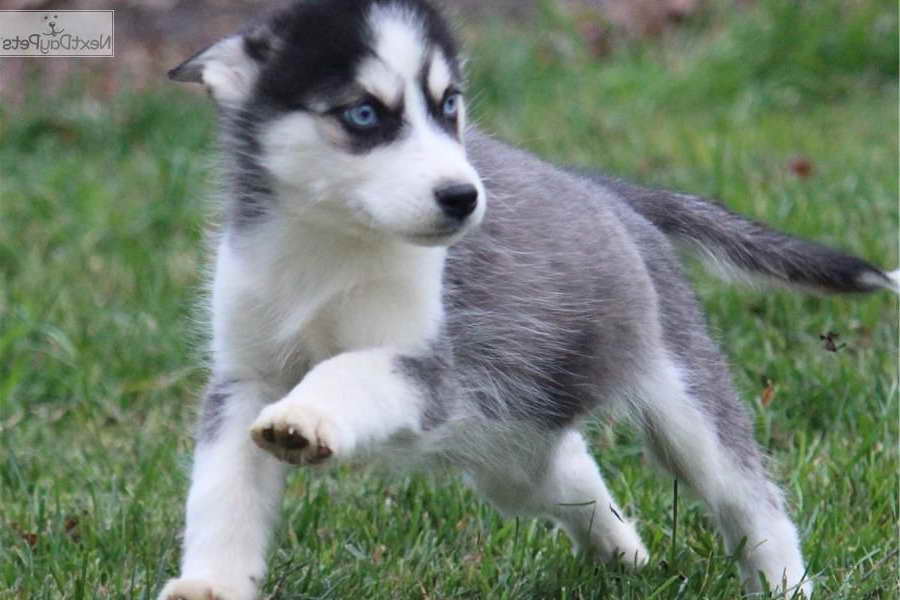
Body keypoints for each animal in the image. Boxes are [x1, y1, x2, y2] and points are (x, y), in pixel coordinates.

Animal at [160, 2, 892, 596]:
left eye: (449, 105)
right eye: (363, 114)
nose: (465, 197)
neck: (331, 246)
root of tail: (605, 190)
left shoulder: (428, 370)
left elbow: (347, 370)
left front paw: (307, 416)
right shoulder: (244, 380)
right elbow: (222, 491)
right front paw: (211, 585)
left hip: (682, 405)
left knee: (750, 496)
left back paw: (782, 582)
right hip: (509, 441)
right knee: (568, 469)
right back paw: (623, 552)